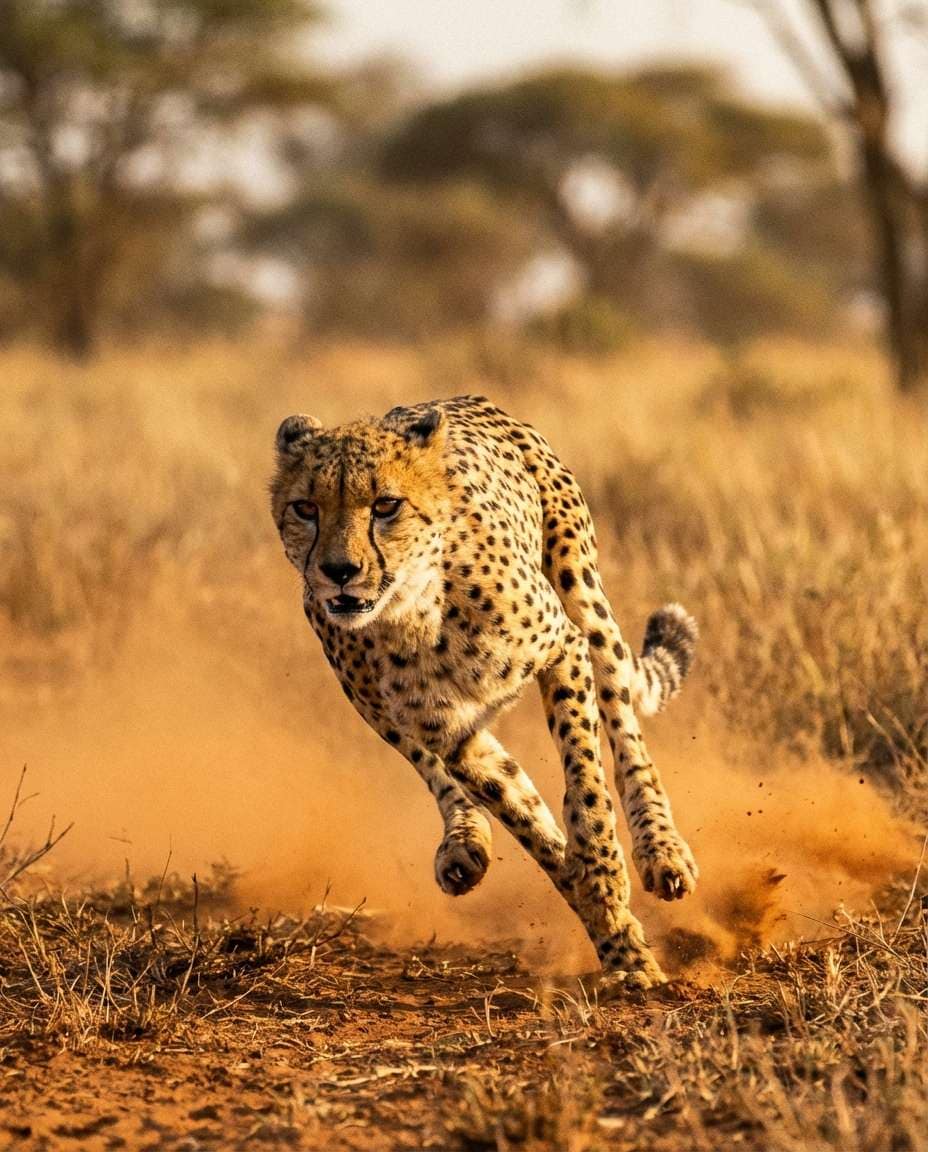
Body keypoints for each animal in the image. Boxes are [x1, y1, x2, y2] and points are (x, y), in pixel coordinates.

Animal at [270, 395, 699, 991]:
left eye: (386, 505)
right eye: (306, 508)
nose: (339, 571)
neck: (415, 608)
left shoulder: (563, 648)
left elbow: (586, 788)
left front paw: (606, 884)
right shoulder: (449, 732)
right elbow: (529, 820)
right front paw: (614, 932)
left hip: (583, 593)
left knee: (627, 734)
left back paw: (663, 851)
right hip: (374, 707)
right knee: (446, 776)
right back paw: (464, 843)